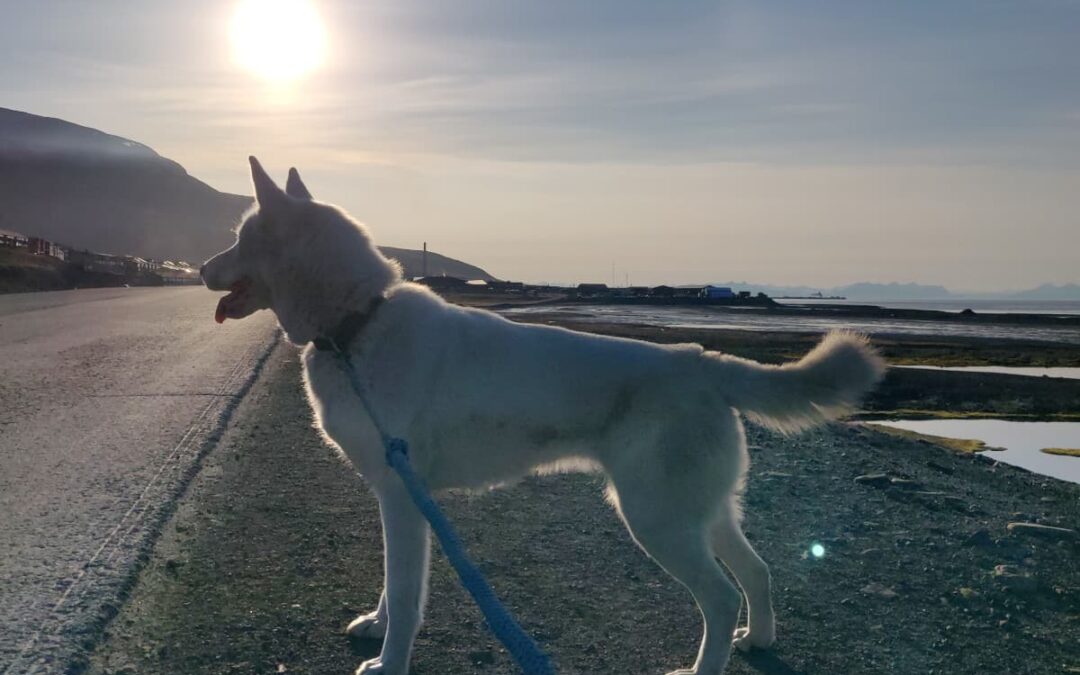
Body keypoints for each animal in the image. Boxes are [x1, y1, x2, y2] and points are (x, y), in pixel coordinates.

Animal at [203, 157, 885, 673]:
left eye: (238, 239)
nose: (201, 269)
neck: (357, 322)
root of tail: (701, 361)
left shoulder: (402, 496)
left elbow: (407, 593)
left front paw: (389, 663)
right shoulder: (401, 498)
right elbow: (393, 589)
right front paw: (376, 624)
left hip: (656, 519)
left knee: (719, 598)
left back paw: (703, 666)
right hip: (700, 512)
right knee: (756, 572)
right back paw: (758, 639)